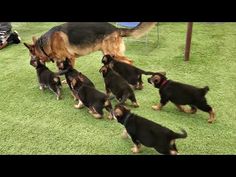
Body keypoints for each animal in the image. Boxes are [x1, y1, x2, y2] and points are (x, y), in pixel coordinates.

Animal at [24, 22, 157, 65]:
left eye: (31, 56)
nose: (30, 63)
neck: (46, 44)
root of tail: (115, 28)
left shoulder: (70, 58)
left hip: (113, 53)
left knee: (130, 61)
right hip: (108, 53)